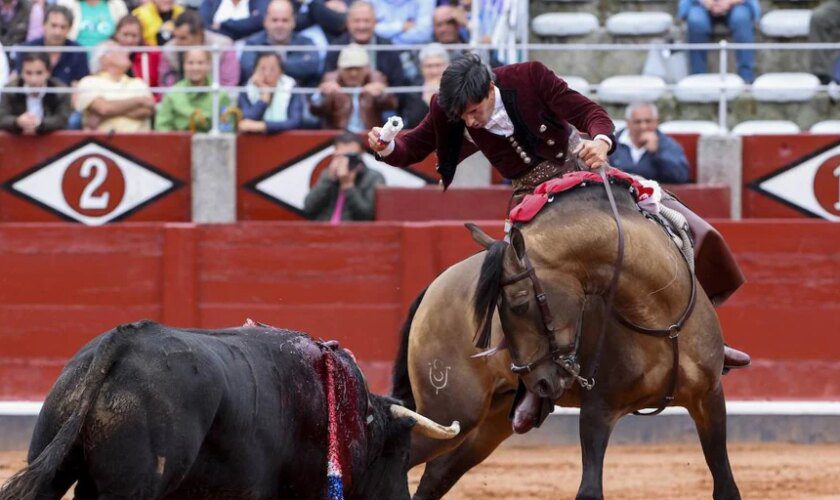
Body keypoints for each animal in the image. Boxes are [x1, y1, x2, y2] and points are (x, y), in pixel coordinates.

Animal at [390, 182, 740, 498]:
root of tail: (434, 286)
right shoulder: (598, 409)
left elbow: (725, 485)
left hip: (488, 422)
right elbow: (589, 489)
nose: (540, 384)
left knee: (436, 475)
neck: (659, 316)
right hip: (450, 411)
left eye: (519, 304)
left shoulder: (709, 397)